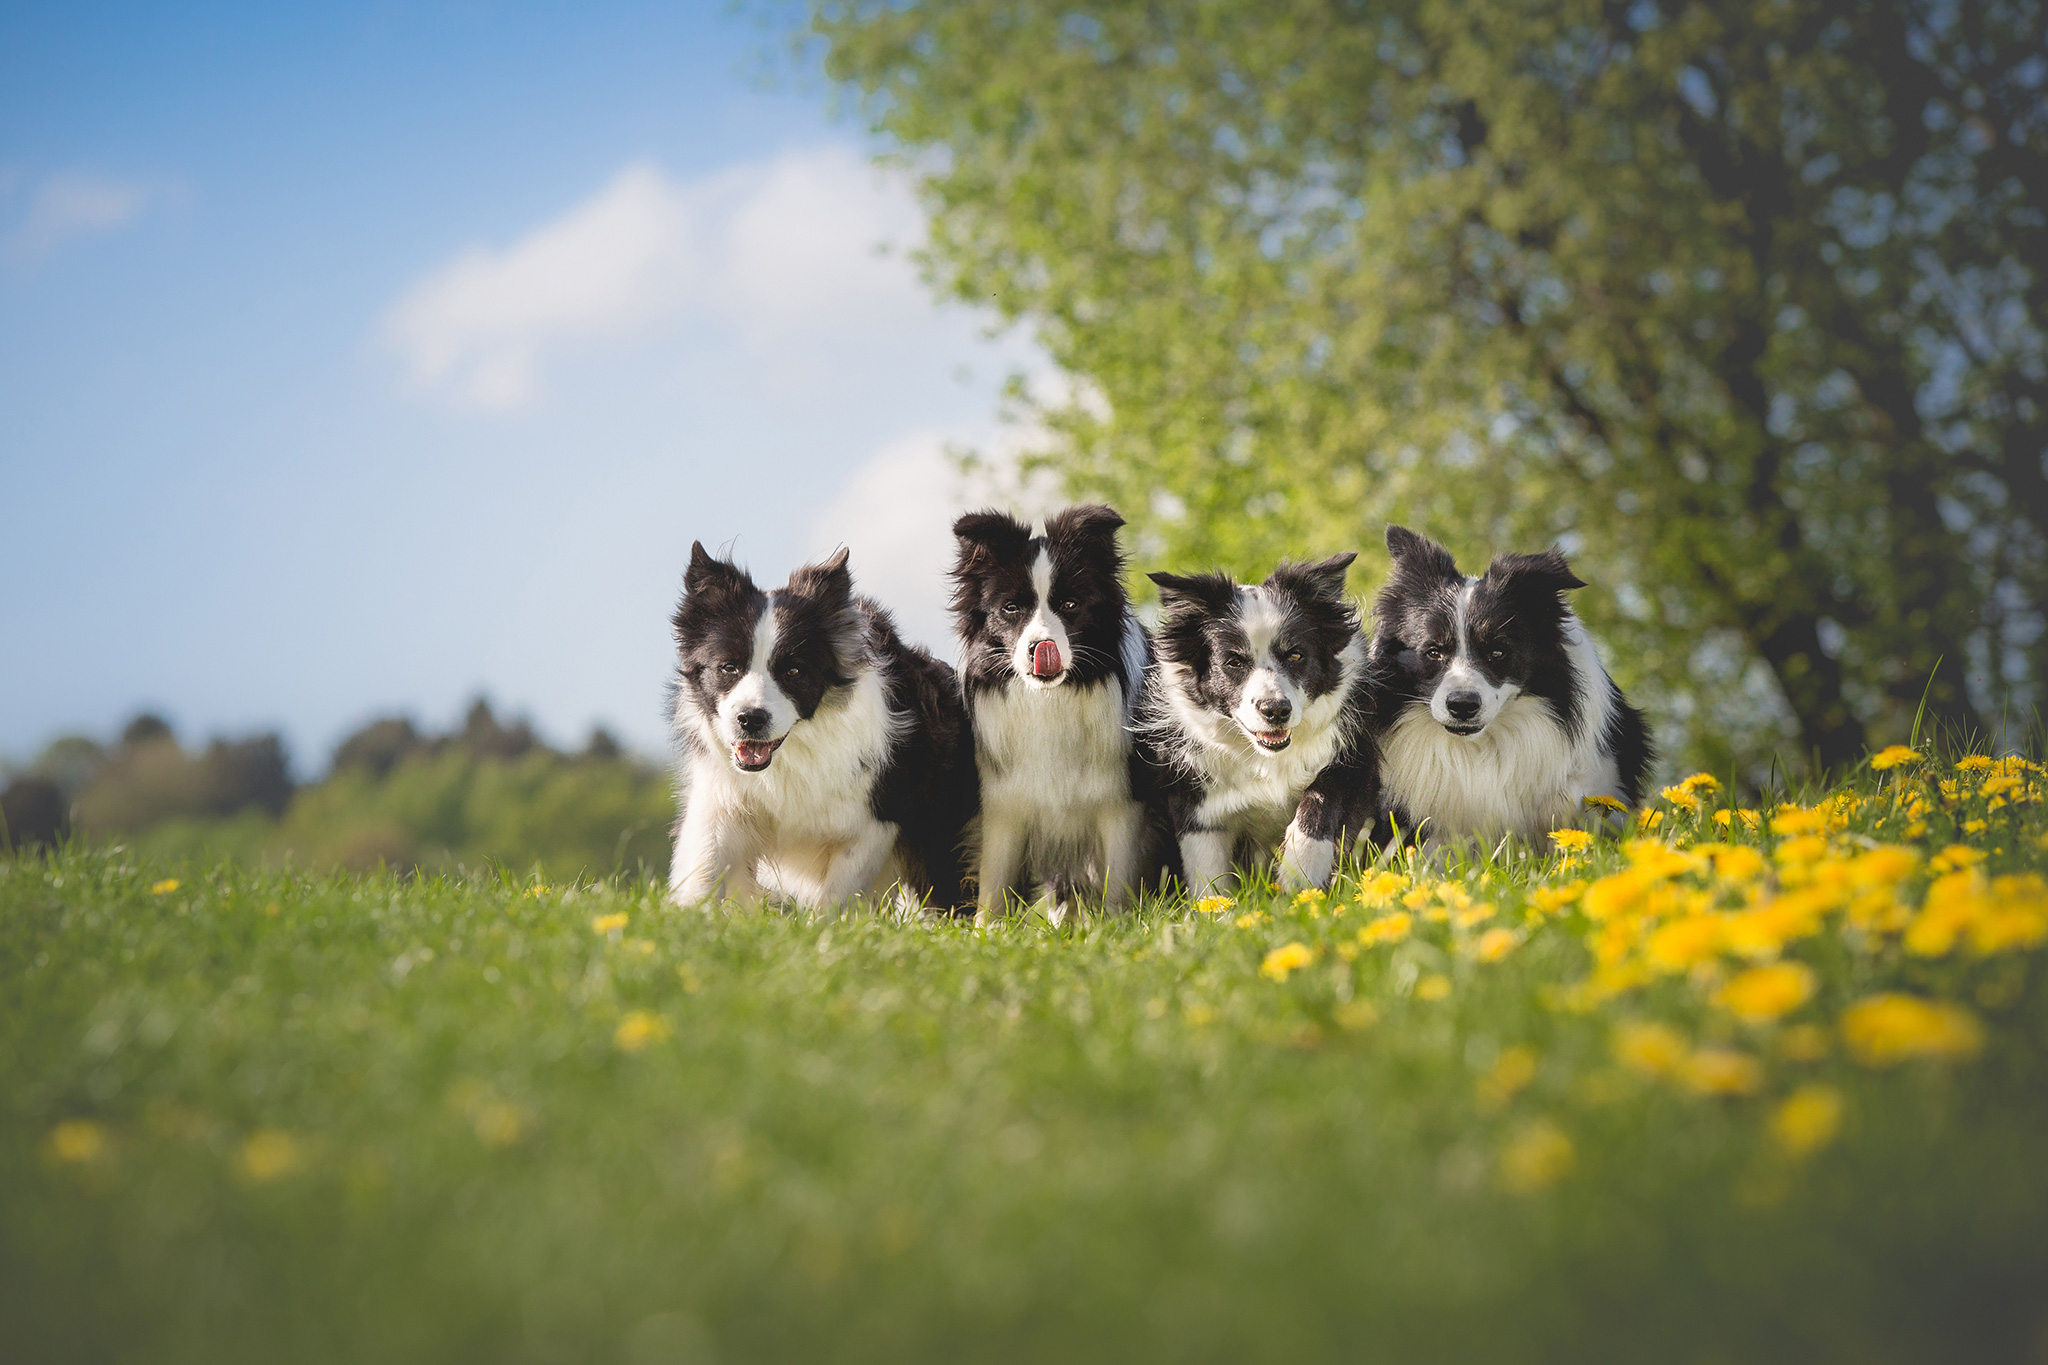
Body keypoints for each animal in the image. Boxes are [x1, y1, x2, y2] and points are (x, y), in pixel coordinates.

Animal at [659, 540, 970, 908]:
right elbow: (703, 868)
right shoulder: (720, 801)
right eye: (728, 667)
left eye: (794, 671)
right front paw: (689, 915)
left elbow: (834, 898)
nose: (750, 719)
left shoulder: (875, 821)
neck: (790, 756)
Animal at [946, 501, 1171, 916]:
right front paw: (987, 929)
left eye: (1070, 604)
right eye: (1010, 608)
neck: (1052, 698)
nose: (1041, 648)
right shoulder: (1004, 805)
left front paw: (1116, 924)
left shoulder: (1122, 805)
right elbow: (993, 887)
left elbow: (1117, 883)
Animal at [1138, 552, 1376, 896]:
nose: (1275, 710)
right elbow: (1207, 870)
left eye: (1295, 655)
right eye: (1234, 661)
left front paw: (1299, 873)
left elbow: (1320, 801)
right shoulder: (1195, 799)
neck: (1266, 758)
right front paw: (1215, 907)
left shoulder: (1354, 763)